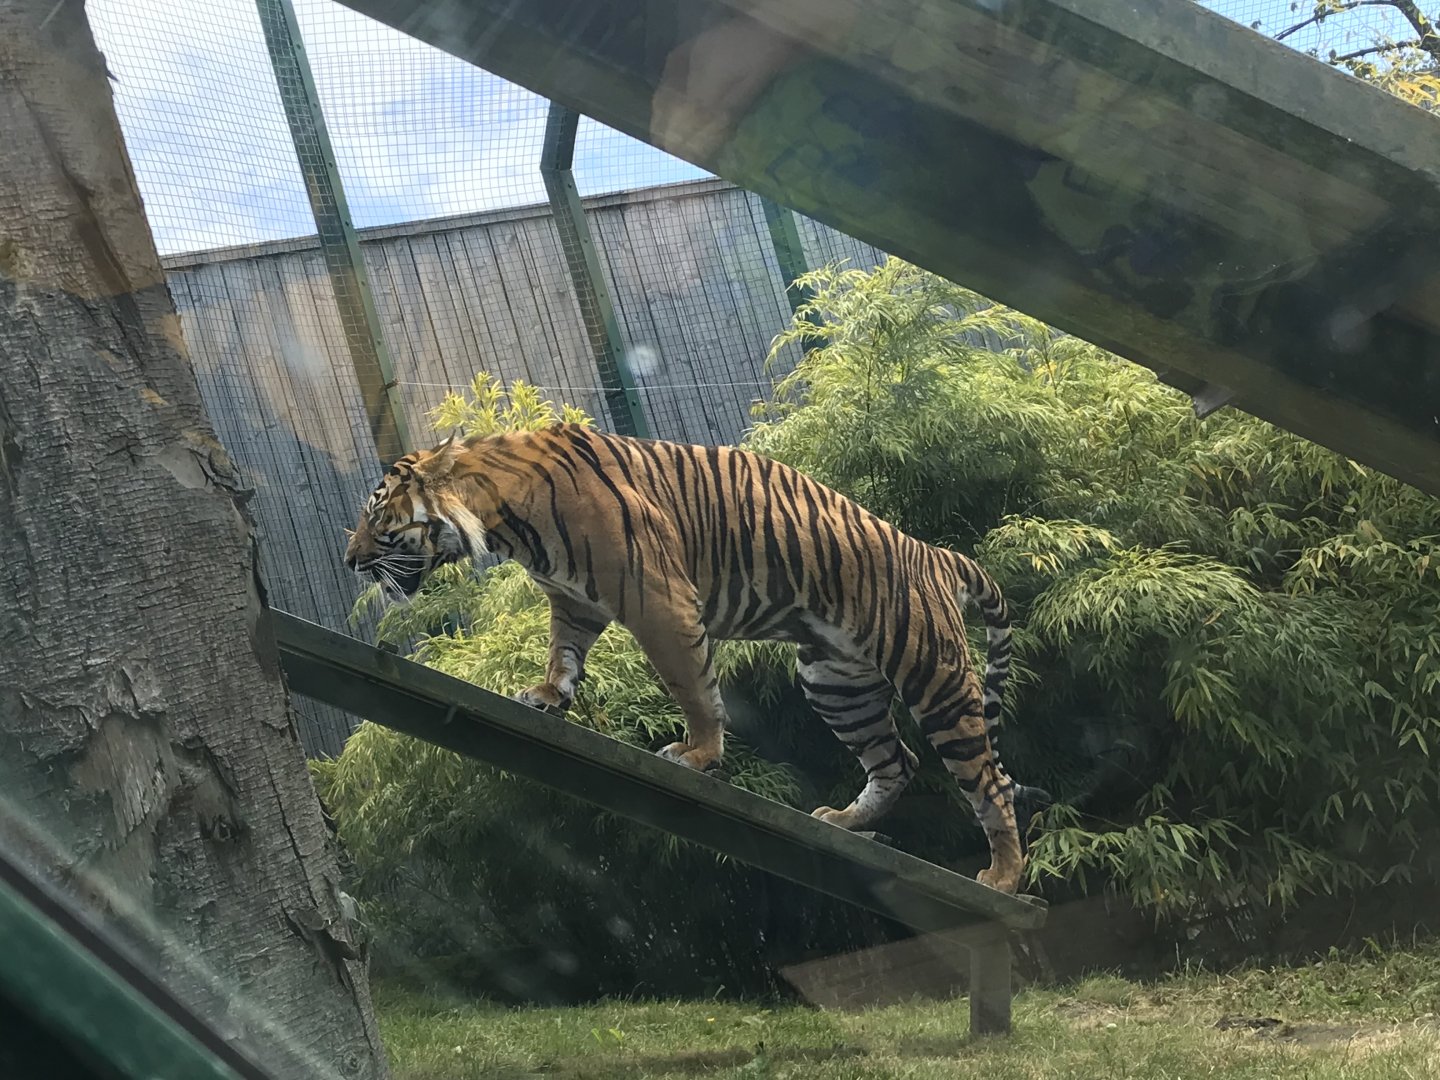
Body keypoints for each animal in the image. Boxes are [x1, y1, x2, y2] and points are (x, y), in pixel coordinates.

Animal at [344, 423, 1033, 893]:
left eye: (377, 514)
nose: (349, 561)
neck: (505, 518)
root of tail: (937, 554)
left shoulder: (658, 599)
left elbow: (691, 687)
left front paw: (697, 755)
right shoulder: (575, 602)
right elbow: (561, 653)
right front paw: (546, 696)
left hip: (933, 678)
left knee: (990, 780)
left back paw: (1001, 877)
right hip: (836, 683)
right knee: (896, 760)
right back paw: (842, 820)